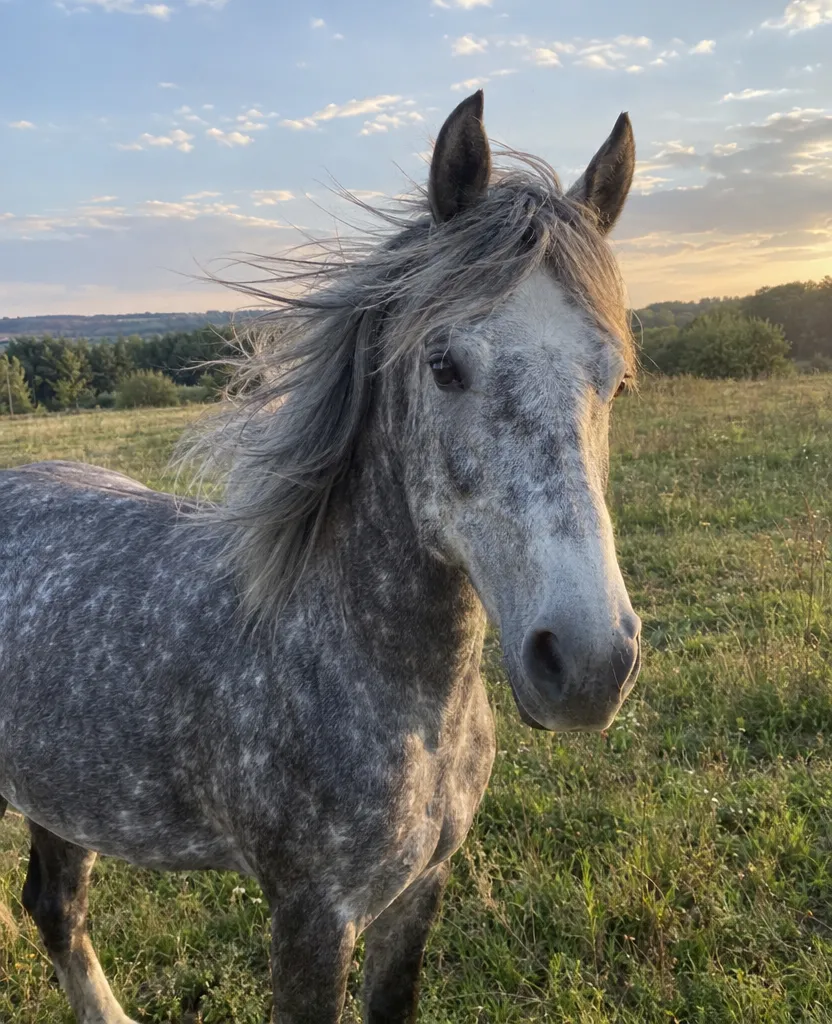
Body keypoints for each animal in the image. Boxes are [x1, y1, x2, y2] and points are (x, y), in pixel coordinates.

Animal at [0, 90, 641, 1023]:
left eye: (617, 380)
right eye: (443, 365)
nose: (590, 663)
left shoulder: (419, 890)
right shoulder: (313, 915)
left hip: (63, 794)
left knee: (56, 908)